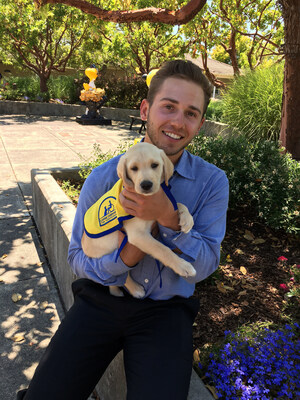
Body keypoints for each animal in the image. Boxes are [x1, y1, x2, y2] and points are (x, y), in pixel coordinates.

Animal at [81, 142, 196, 298]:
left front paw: (187, 219)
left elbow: (176, 204)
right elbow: (162, 249)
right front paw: (183, 266)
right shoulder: (138, 235)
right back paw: (135, 289)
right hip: (111, 244)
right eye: (133, 168)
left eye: (155, 165)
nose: (146, 185)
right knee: (117, 275)